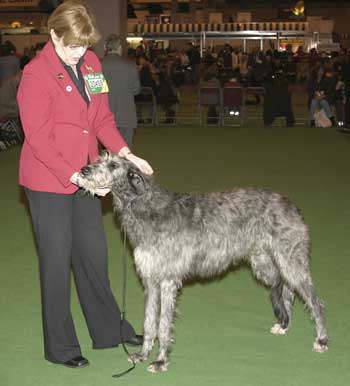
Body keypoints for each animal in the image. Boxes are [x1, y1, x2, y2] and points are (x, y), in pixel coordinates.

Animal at [78, 152, 328, 372]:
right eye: (101, 157)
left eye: (113, 165)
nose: (84, 169)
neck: (146, 207)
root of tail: (291, 204)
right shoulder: (151, 280)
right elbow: (149, 321)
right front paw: (143, 353)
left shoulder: (167, 281)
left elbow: (163, 325)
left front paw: (160, 361)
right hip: (264, 262)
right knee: (286, 290)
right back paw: (285, 325)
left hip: (290, 260)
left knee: (315, 301)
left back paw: (322, 340)